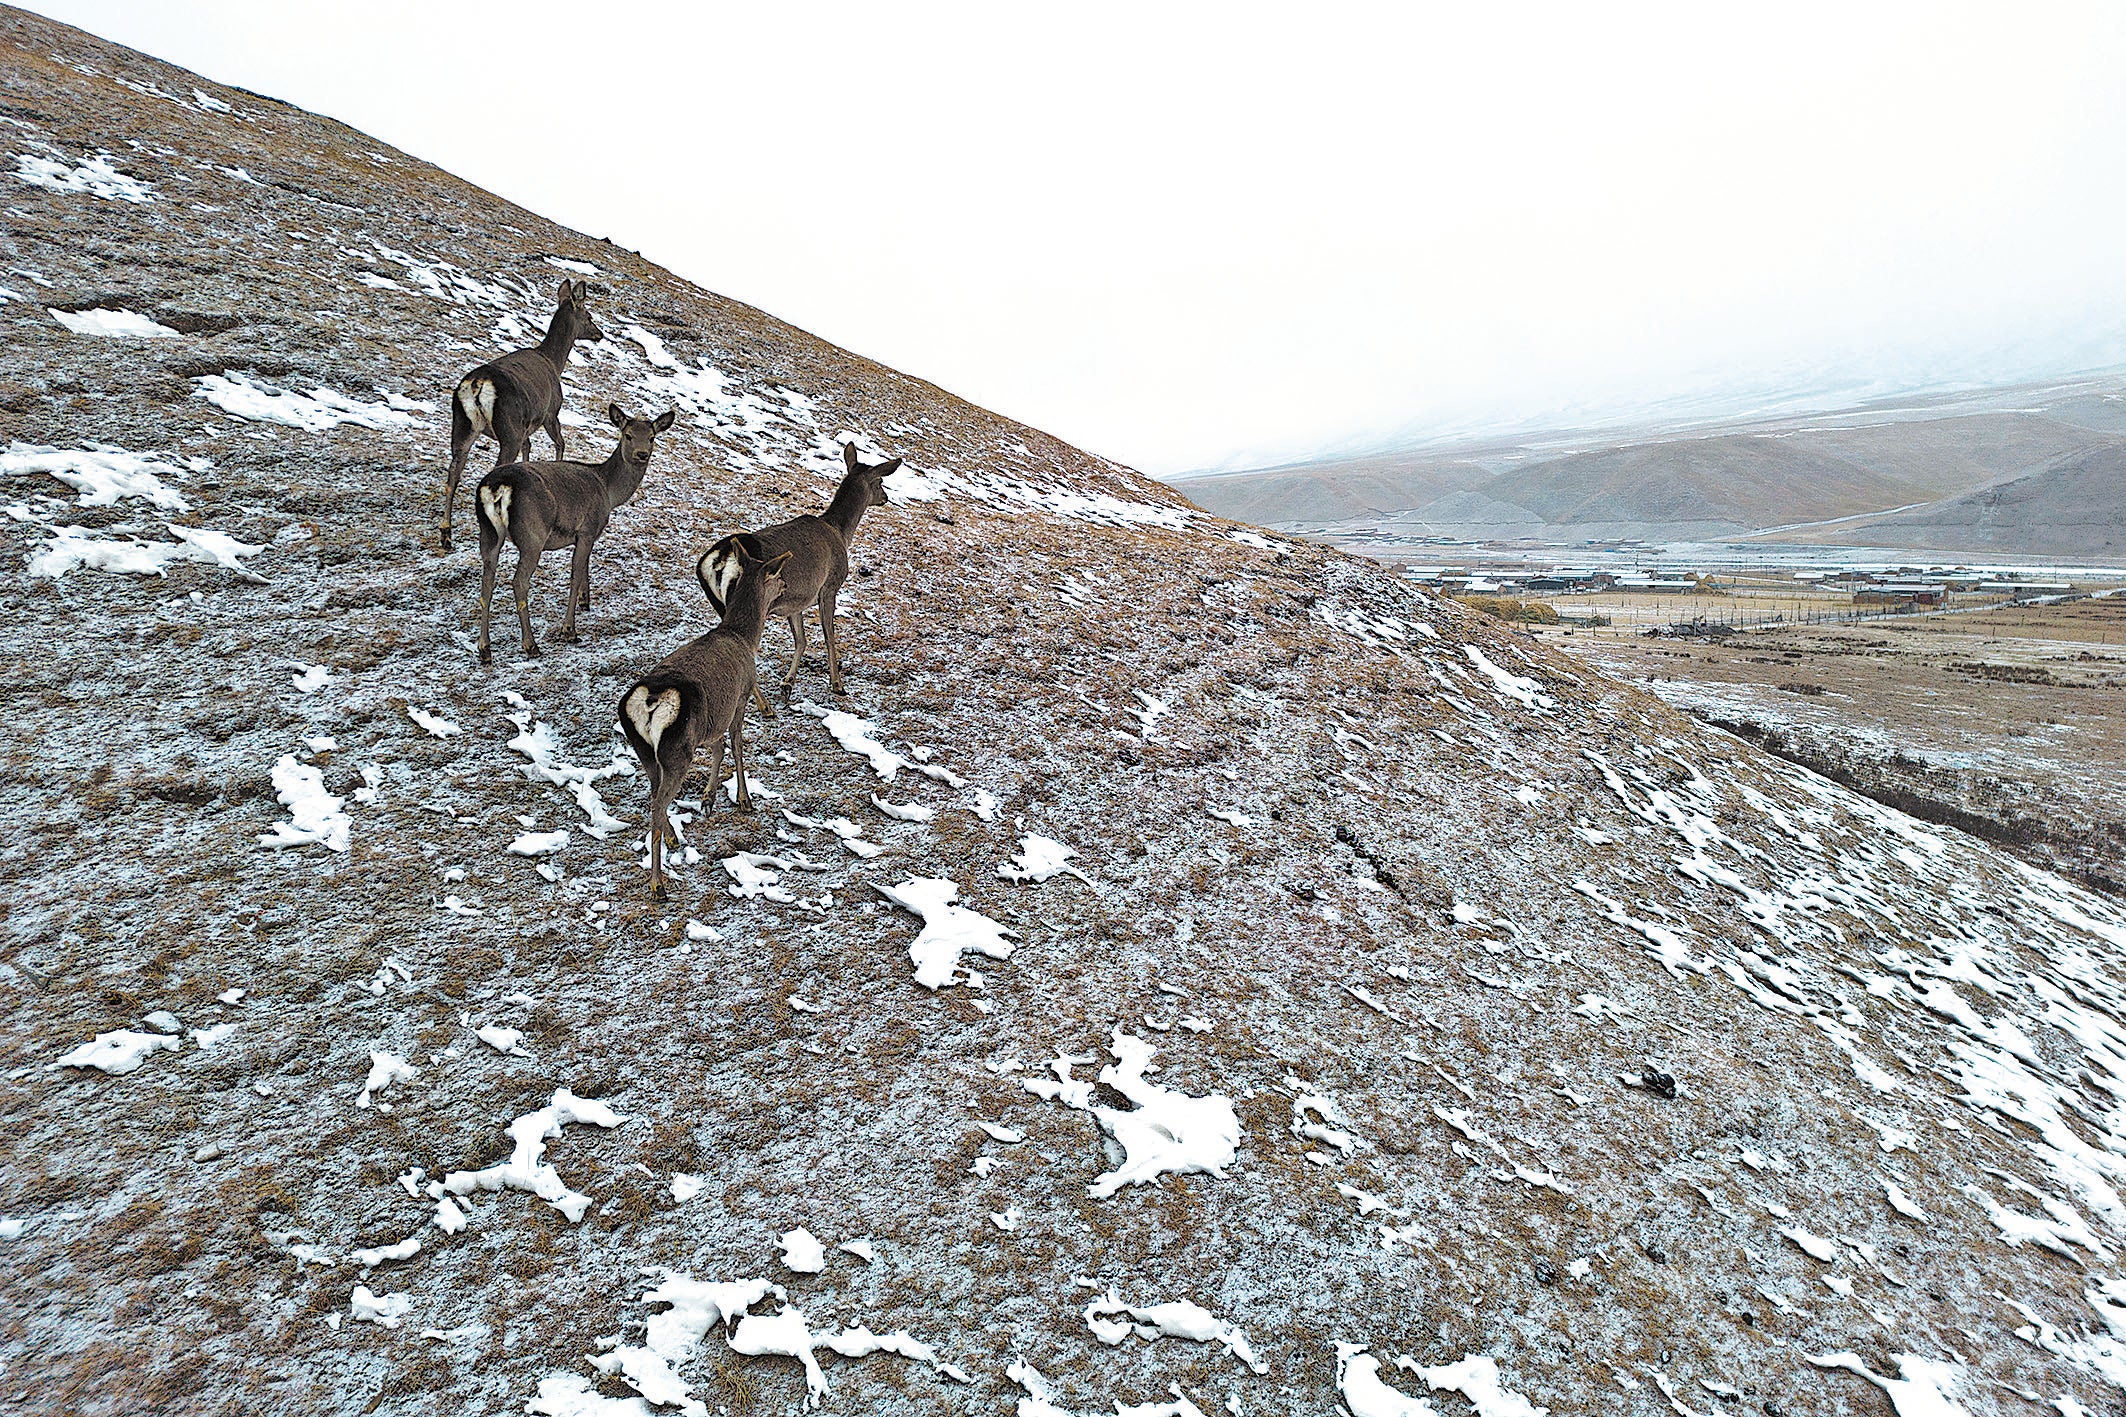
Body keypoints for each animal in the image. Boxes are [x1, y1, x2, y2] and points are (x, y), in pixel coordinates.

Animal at [439, 278, 603, 551]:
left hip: (463, 424)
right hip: (508, 428)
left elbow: (529, 449)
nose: (600, 334)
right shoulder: (550, 412)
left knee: (453, 473)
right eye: (589, 316)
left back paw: (446, 534)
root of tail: (477, 385)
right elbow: (560, 443)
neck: (553, 361)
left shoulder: (527, 425)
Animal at [474, 404, 675, 666]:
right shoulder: (588, 528)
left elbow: (585, 566)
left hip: (487, 532)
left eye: (651, 437)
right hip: (532, 534)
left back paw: (485, 649)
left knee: (487, 581)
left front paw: (585, 601)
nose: (642, 454)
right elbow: (576, 573)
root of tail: (498, 486)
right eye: (628, 435)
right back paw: (531, 645)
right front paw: (569, 629)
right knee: (519, 581)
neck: (608, 491)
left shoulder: (585, 535)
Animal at [620, 543, 793, 898]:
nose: (786, 586)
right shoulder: (739, 698)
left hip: (645, 749)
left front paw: (708, 799)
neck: (742, 636)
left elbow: (718, 748)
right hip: (677, 750)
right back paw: (657, 883)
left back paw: (672, 837)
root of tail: (650, 699)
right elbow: (736, 745)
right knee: (657, 804)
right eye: (777, 574)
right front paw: (744, 800)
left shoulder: (711, 721)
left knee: (654, 795)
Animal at [694, 440, 901, 700]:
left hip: (720, 601)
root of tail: (717, 558)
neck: (840, 532)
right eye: (881, 481)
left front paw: (788, 682)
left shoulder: (796, 599)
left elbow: (801, 640)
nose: (886, 497)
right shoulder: (829, 587)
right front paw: (837, 684)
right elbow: (829, 635)